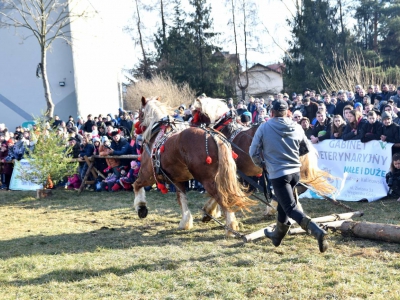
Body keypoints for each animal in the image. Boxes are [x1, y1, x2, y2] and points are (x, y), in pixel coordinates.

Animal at [133, 97, 255, 236]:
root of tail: (213, 135)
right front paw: (185, 221)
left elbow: (136, 184)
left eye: (140, 113)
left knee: (222, 197)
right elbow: (182, 198)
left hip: (207, 179)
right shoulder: (177, 180)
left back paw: (230, 226)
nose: (136, 131)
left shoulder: (148, 175)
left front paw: (141, 207)